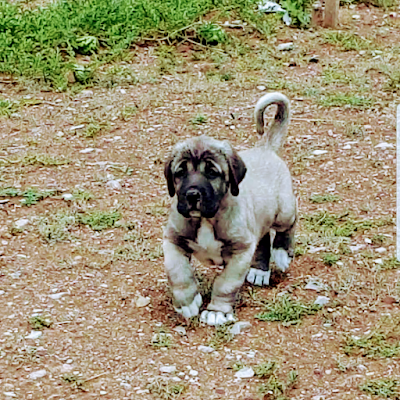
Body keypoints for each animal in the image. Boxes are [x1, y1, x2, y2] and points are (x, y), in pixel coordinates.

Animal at [162, 92, 296, 326]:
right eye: (180, 173)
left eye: (212, 172)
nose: (192, 195)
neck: (206, 219)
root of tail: (264, 148)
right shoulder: (172, 240)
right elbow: (178, 273)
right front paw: (187, 302)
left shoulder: (240, 250)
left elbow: (226, 282)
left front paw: (217, 311)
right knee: (262, 239)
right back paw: (259, 270)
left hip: (284, 211)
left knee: (288, 224)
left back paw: (281, 253)